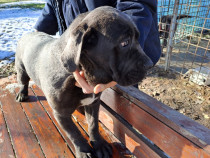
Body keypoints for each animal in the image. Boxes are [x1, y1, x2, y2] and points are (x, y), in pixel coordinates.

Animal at [14, 6, 153, 158]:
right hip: (21, 68)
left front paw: (99, 144)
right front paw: (84, 151)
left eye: (137, 39)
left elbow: (93, 125)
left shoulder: (93, 103)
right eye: (124, 43)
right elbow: (74, 134)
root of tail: (27, 34)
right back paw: (22, 94)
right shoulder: (61, 113)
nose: (150, 64)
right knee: (23, 81)